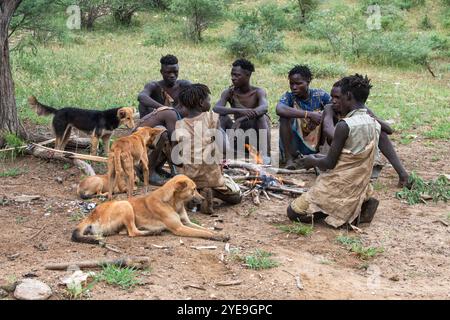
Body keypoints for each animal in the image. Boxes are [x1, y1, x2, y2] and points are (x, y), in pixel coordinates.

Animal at [72, 174, 232, 244]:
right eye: (193, 190)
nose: (204, 199)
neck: (173, 203)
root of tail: (91, 214)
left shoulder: (186, 223)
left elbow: (204, 229)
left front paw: (220, 234)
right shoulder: (179, 228)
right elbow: (203, 233)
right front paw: (217, 237)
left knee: (126, 231)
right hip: (125, 205)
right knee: (133, 232)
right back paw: (153, 232)